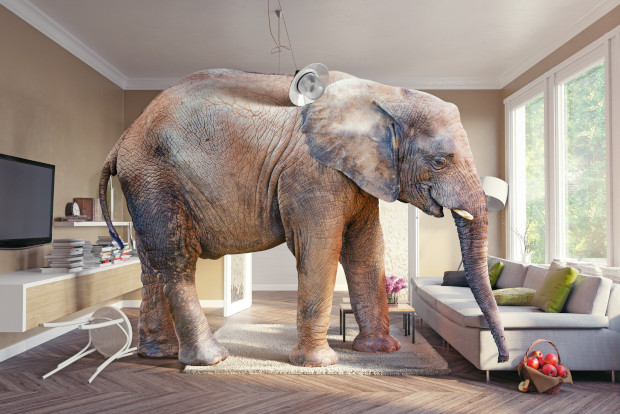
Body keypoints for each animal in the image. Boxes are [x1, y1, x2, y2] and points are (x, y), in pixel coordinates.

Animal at [98, 68, 508, 366]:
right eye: (439, 162)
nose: (503, 359)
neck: (384, 93)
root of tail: (122, 140)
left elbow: (366, 250)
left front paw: (380, 351)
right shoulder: (312, 173)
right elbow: (320, 247)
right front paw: (319, 365)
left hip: (145, 183)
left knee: (151, 265)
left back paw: (159, 354)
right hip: (156, 177)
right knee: (176, 259)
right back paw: (211, 359)